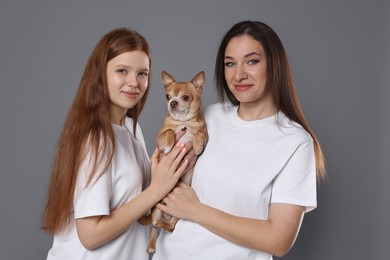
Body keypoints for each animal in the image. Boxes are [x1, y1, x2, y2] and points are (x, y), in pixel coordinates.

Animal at [139, 70, 209, 254]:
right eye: (167, 96)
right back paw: (151, 246)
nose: (172, 102)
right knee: (154, 230)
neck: (184, 121)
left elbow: (200, 133)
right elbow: (169, 131)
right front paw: (169, 145)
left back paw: (163, 224)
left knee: (170, 227)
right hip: (156, 210)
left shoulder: (204, 132)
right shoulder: (160, 138)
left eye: (185, 97)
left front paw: (197, 146)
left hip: (179, 214)